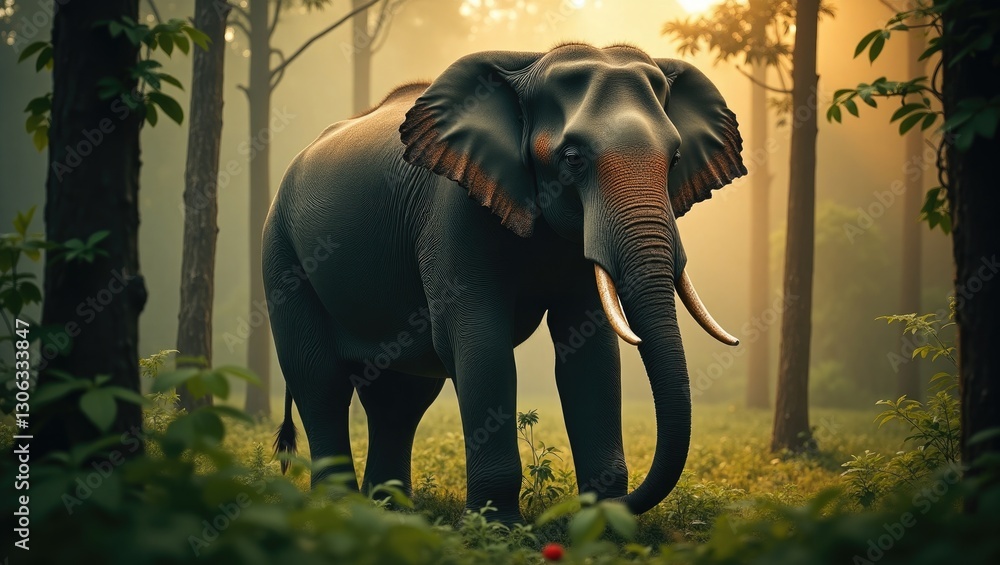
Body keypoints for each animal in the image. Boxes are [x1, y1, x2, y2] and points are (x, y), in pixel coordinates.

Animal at [264, 42, 746, 524]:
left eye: (676, 159)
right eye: (573, 159)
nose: (568, 513)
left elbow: (590, 351)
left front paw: (600, 525)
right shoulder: (454, 209)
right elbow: (478, 342)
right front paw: (498, 527)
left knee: (400, 398)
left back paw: (390, 511)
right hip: (282, 255)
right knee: (319, 380)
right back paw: (338, 509)